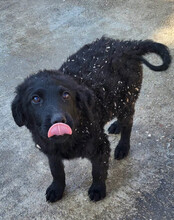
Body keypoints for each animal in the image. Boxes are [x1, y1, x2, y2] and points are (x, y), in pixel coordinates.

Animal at [11, 37, 171, 202]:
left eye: (66, 95)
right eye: (35, 99)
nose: (58, 120)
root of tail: (125, 45)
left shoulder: (100, 146)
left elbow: (98, 172)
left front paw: (97, 189)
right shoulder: (50, 151)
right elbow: (56, 171)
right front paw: (57, 188)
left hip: (126, 98)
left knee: (128, 123)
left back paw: (123, 147)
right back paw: (116, 126)